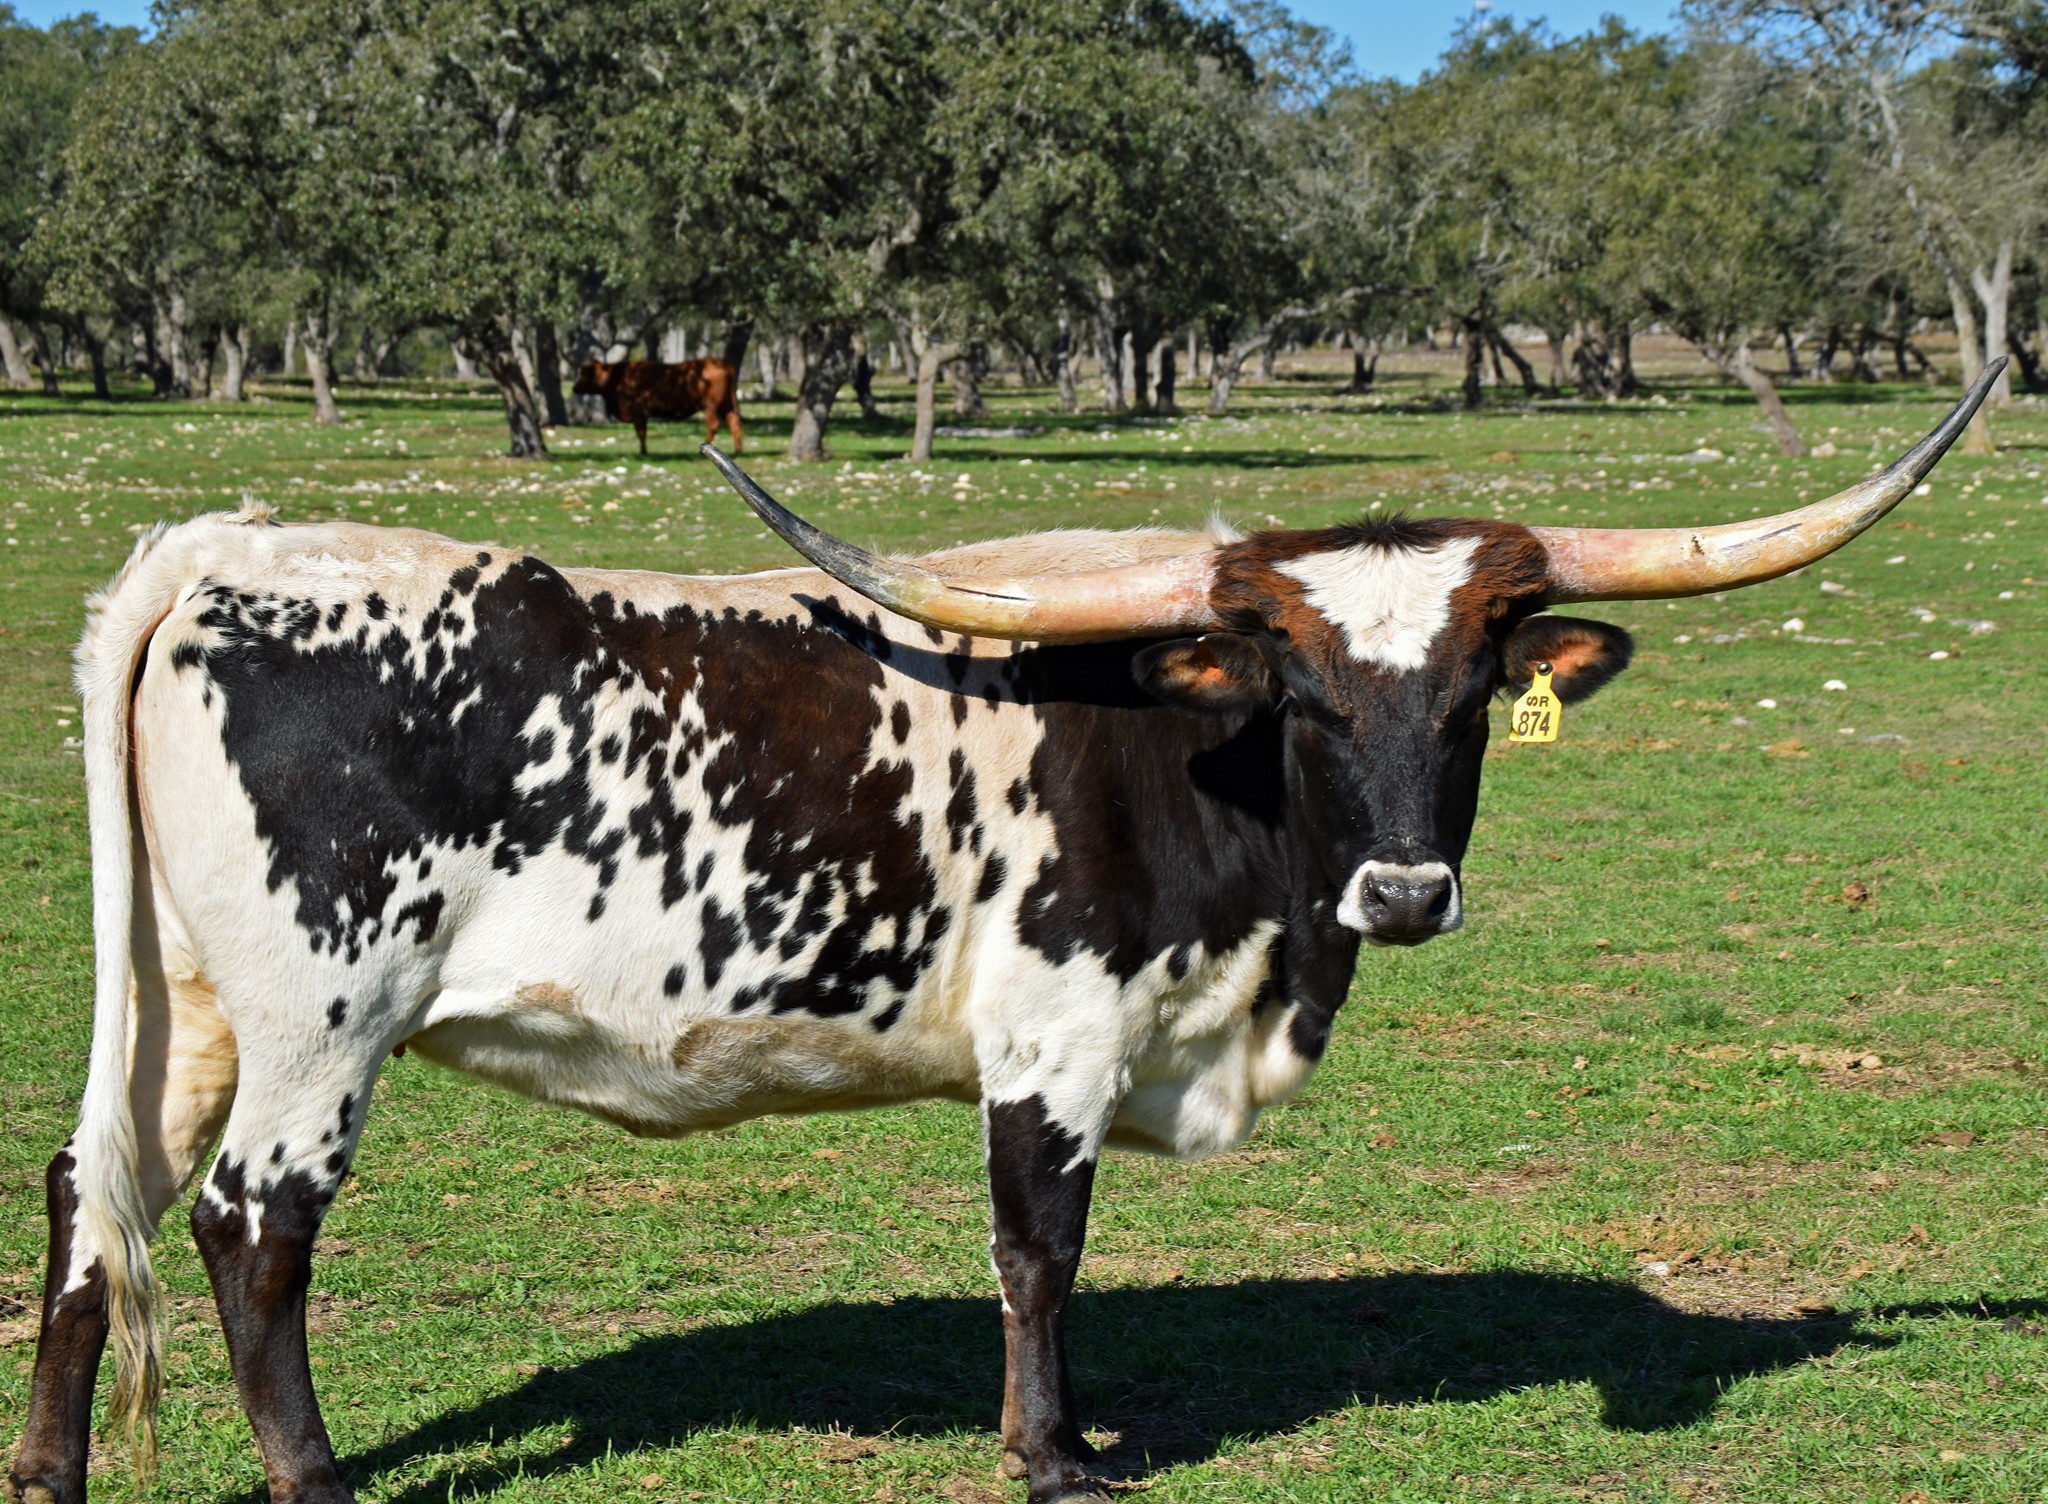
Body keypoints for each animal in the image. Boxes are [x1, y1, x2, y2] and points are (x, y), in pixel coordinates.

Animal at [6, 368, 1996, 1504]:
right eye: (1303, 695)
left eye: (1469, 698)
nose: (1405, 893)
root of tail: (225, 549)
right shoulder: (1059, 1034)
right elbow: (1041, 1250)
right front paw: (1052, 1456)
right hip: (321, 1017)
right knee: (251, 1227)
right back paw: (316, 1479)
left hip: (185, 1009)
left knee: (92, 1188)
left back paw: (45, 1468)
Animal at [572, 357, 745, 456]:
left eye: (584, 373)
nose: (574, 387)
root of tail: (724, 363)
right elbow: (642, 432)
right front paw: (643, 451)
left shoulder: (638, 411)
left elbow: (641, 433)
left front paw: (643, 452)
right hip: (728, 404)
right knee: (734, 423)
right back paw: (738, 450)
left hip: (711, 406)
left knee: (714, 424)